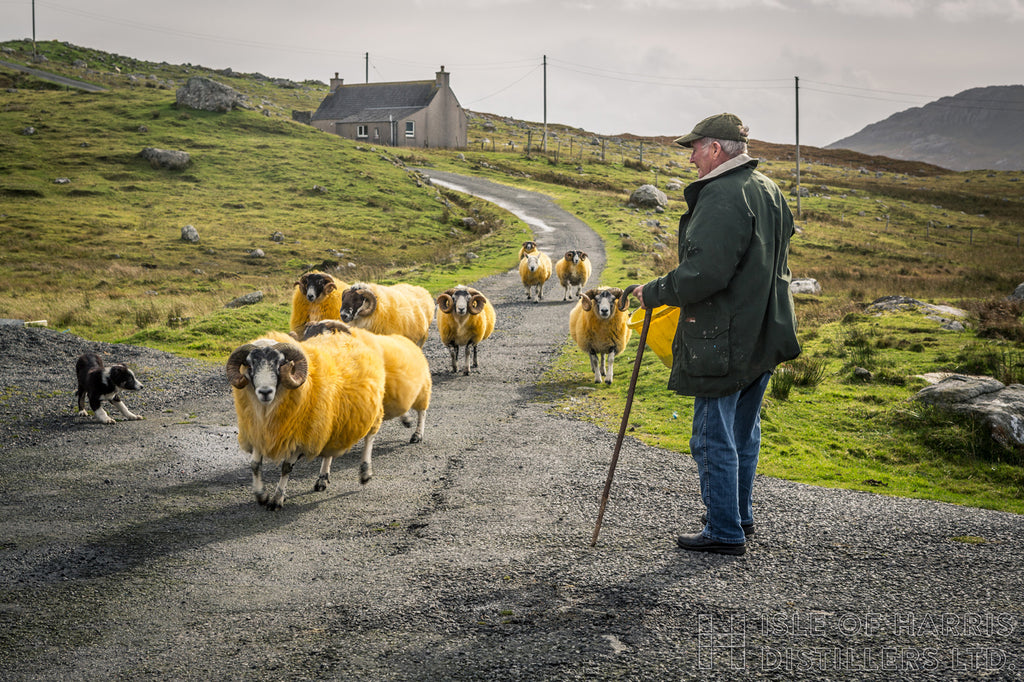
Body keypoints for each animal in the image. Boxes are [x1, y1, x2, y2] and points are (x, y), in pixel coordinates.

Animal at [224, 327, 385, 507]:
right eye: (250, 365)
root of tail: (353, 335)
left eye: (281, 364)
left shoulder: (300, 438)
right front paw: (261, 495)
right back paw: (322, 479)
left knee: (370, 437)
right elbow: (255, 465)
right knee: (329, 450)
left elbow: (286, 468)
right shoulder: (258, 432)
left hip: (372, 411)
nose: (265, 392)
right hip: (330, 420)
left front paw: (277, 499)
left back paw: (365, 473)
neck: (267, 411)